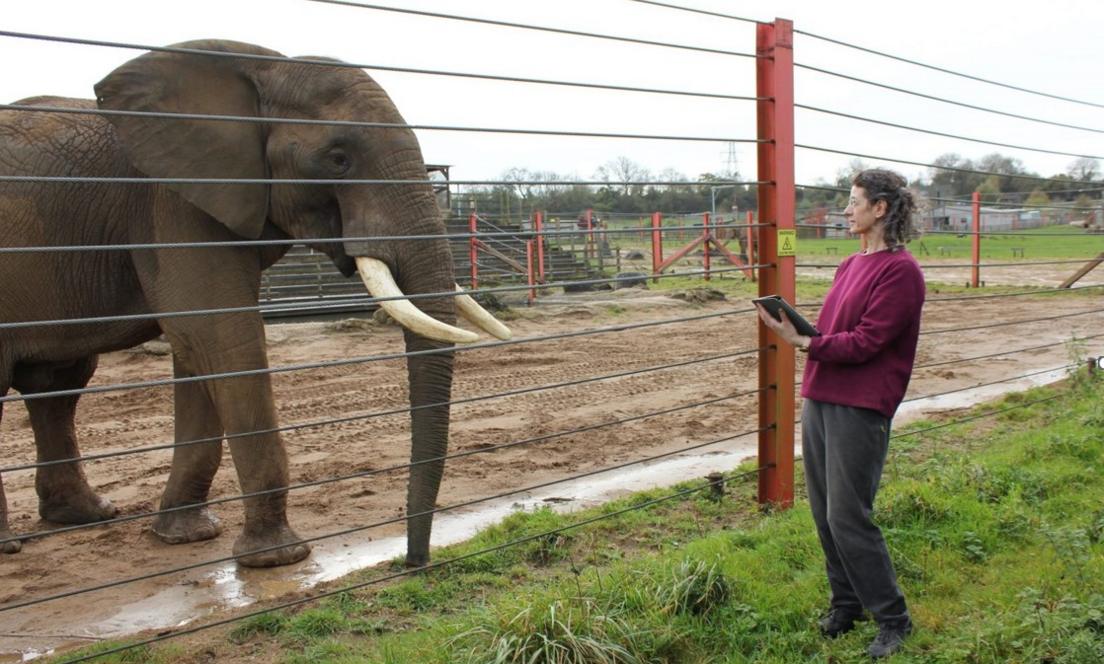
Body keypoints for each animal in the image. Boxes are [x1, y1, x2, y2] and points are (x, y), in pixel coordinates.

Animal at [0, 41, 507, 565]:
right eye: (338, 159)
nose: (414, 560)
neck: (262, 67)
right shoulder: (172, 205)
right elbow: (221, 336)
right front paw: (278, 557)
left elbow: (197, 348)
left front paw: (188, 536)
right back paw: (13, 543)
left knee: (59, 384)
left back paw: (87, 515)